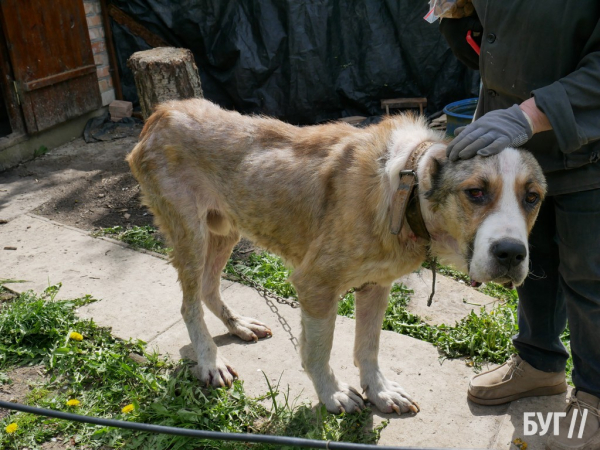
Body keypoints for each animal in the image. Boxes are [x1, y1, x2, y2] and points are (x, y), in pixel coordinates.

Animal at [127, 98, 548, 414]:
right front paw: (331, 394)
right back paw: (209, 361)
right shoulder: (316, 285)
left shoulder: (377, 285)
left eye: (532, 198)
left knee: (209, 288)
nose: (512, 254)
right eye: (475, 192)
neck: (405, 188)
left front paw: (378, 391)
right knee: (189, 304)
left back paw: (237, 325)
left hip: (224, 230)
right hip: (192, 236)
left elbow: (369, 346)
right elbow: (319, 349)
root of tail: (162, 112)